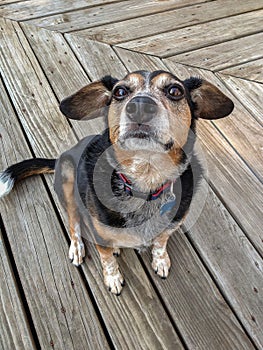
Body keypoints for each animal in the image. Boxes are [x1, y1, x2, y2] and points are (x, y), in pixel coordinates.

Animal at [0, 70, 235, 296]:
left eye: (175, 91)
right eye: (120, 92)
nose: (140, 106)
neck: (145, 179)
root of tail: (61, 157)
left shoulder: (171, 225)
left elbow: (160, 242)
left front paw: (160, 260)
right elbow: (107, 260)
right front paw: (113, 278)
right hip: (67, 177)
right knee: (74, 222)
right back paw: (78, 247)